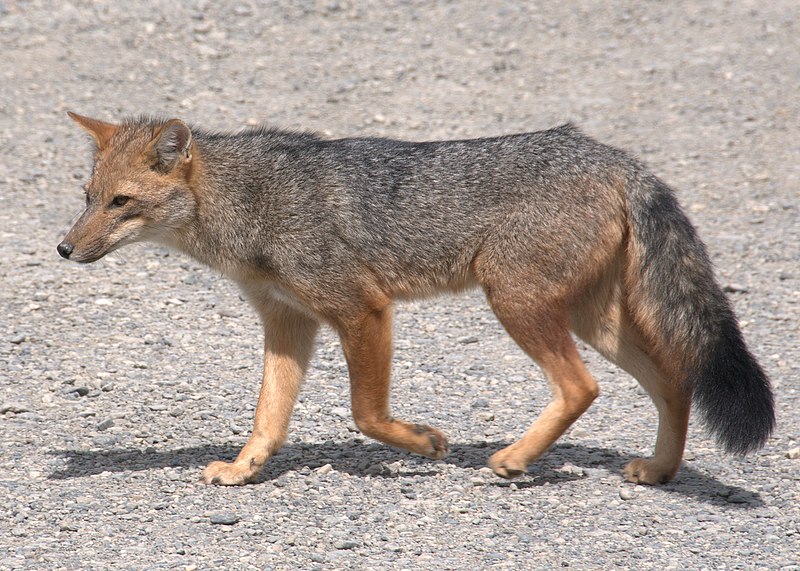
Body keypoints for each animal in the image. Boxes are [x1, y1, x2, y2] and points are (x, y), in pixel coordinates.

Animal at [57, 113, 776, 488]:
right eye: (87, 196)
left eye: (121, 202)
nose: (63, 248)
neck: (251, 200)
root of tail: (614, 156)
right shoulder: (288, 322)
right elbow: (268, 415)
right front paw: (242, 470)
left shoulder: (362, 309)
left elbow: (366, 412)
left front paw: (425, 444)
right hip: (587, 318)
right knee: (675, 379)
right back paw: (659, 469)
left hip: (517, 302)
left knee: (583, 387)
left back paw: (514, 459)